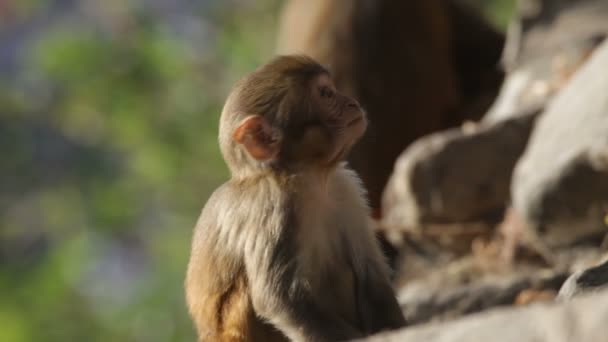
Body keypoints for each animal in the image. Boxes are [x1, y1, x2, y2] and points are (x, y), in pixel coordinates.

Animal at [184, 54, 404, 340]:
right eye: (326, 93)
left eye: (332, 90)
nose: (352, 103)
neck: (309, 175)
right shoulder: (272, 205)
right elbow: (280, 298)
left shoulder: (346, 188)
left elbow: (370, 275)